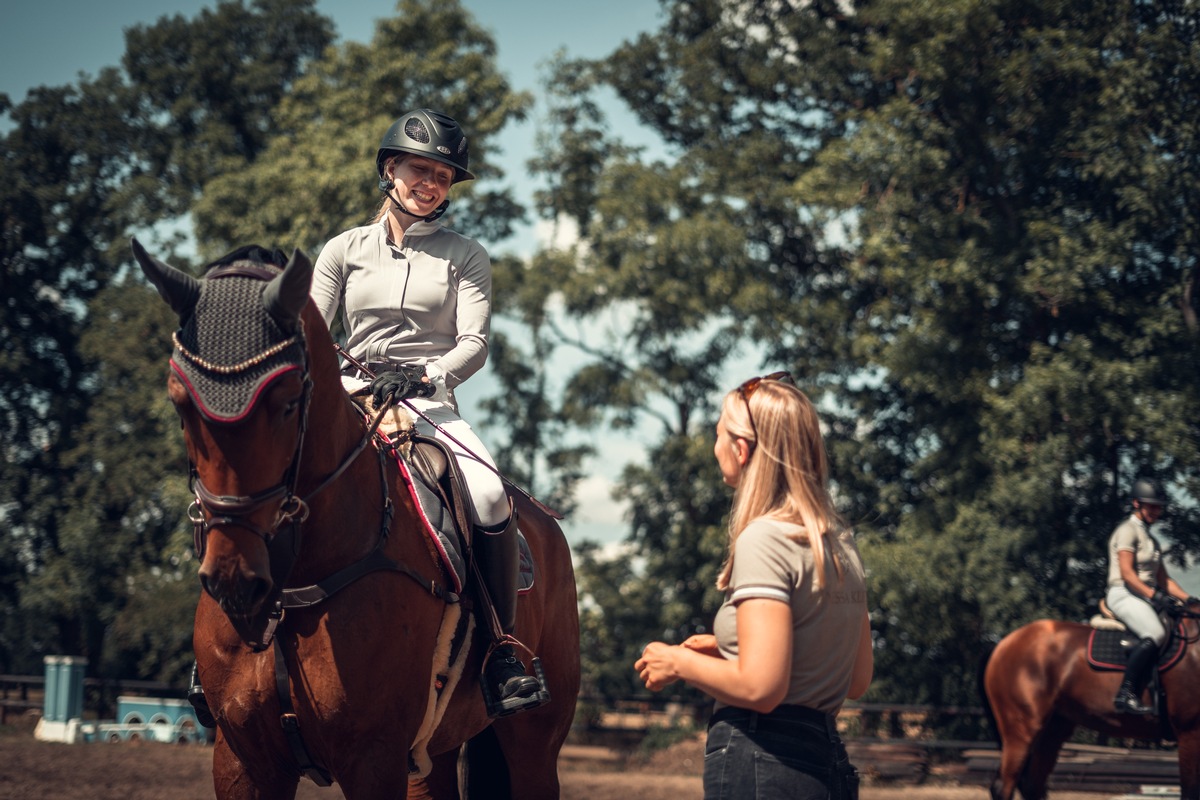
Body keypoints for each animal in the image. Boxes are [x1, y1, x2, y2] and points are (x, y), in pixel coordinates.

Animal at [131, 239, 580, 800]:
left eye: (288, 402)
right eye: (180, 401)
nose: (236, 582)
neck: (294, 584)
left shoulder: (373, 759)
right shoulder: (242, 760)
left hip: (533, 744)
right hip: (433, 753)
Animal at [984, 606, 1200, 800]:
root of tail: (1004, 642)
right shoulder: (1189, 732)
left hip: (1053, 731)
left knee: (1032, 785)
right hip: (1022, 729)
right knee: (1004, 786)